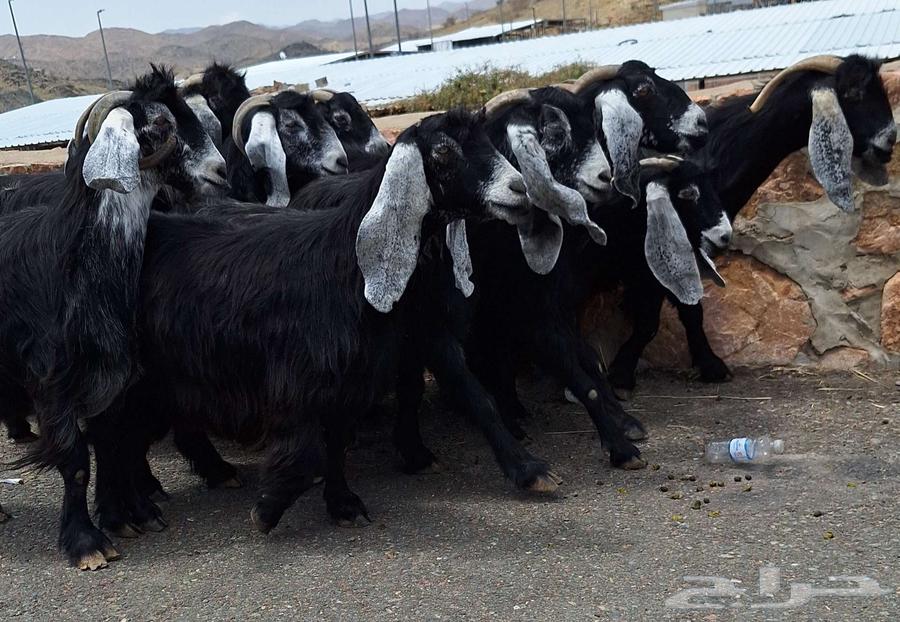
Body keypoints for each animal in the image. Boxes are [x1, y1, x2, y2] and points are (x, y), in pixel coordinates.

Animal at [0, 66, 225, 569]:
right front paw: (87, 543)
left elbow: (109, 444)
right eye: (161, 124)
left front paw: (126, 515)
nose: (221, 172)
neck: (76, 266)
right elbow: (76, 462)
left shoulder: (113, 377)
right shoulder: (54, 383)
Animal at [607, 54, 898, 393]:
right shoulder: (651, 255)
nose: (890, 139)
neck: (715, 157)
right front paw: (620, 374)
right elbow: (653, 319)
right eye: (852, 93)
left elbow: (691, 310)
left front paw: (710, 366)